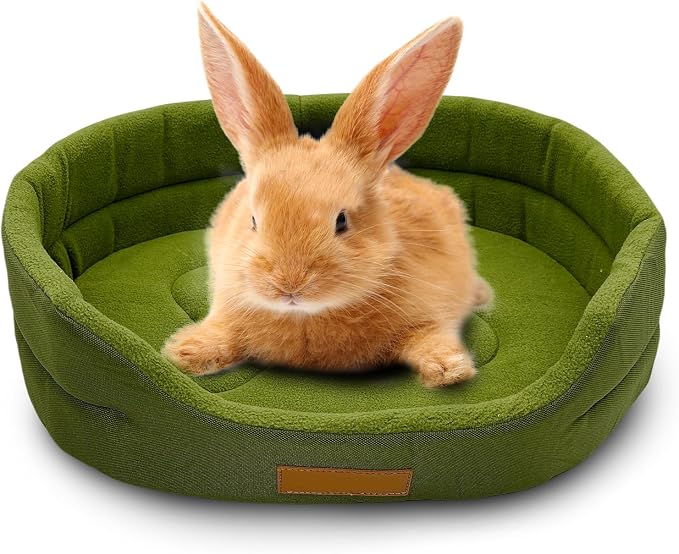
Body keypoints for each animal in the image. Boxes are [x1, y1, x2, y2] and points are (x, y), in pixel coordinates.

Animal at [162, 2, 493, 388]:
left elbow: (430, 336)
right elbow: (222, 332)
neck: (307, 316)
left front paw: (449, 370)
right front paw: (185, 353)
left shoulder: (432, 311)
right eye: (253, 220)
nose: (290, 284)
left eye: (342, 221)